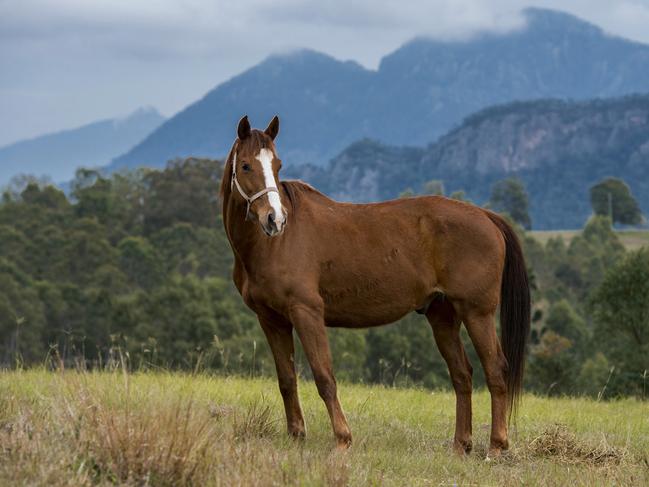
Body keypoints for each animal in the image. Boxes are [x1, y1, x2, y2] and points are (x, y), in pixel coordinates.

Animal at [220, 115, 528, 458]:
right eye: (246, 165)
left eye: (277, 165)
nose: (275, 219)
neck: (271, 246)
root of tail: (486, 216)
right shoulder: (272, 320)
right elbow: (287, 379)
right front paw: (296, 435)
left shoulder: (306, 312)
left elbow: (324, 376)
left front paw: (342, 438)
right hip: (443, 316)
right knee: (462, 375)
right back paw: (461, 445)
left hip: (477, 313)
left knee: (496, 370)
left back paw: (497, 446)